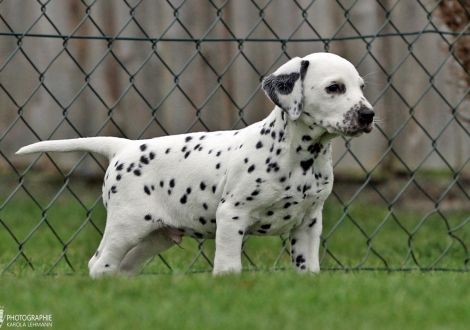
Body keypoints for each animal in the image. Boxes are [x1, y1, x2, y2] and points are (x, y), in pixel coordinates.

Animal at [16, 52, 374, 278]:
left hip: (154, 236)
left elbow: (307, 269)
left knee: (123, 267)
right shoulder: (232, 216)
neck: (299, 156)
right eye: (334, 88)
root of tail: (124, 147)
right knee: (101, 264)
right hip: (126, 226)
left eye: (361, 87)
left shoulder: (309, 223)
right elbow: (228, 267)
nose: (368, 115)